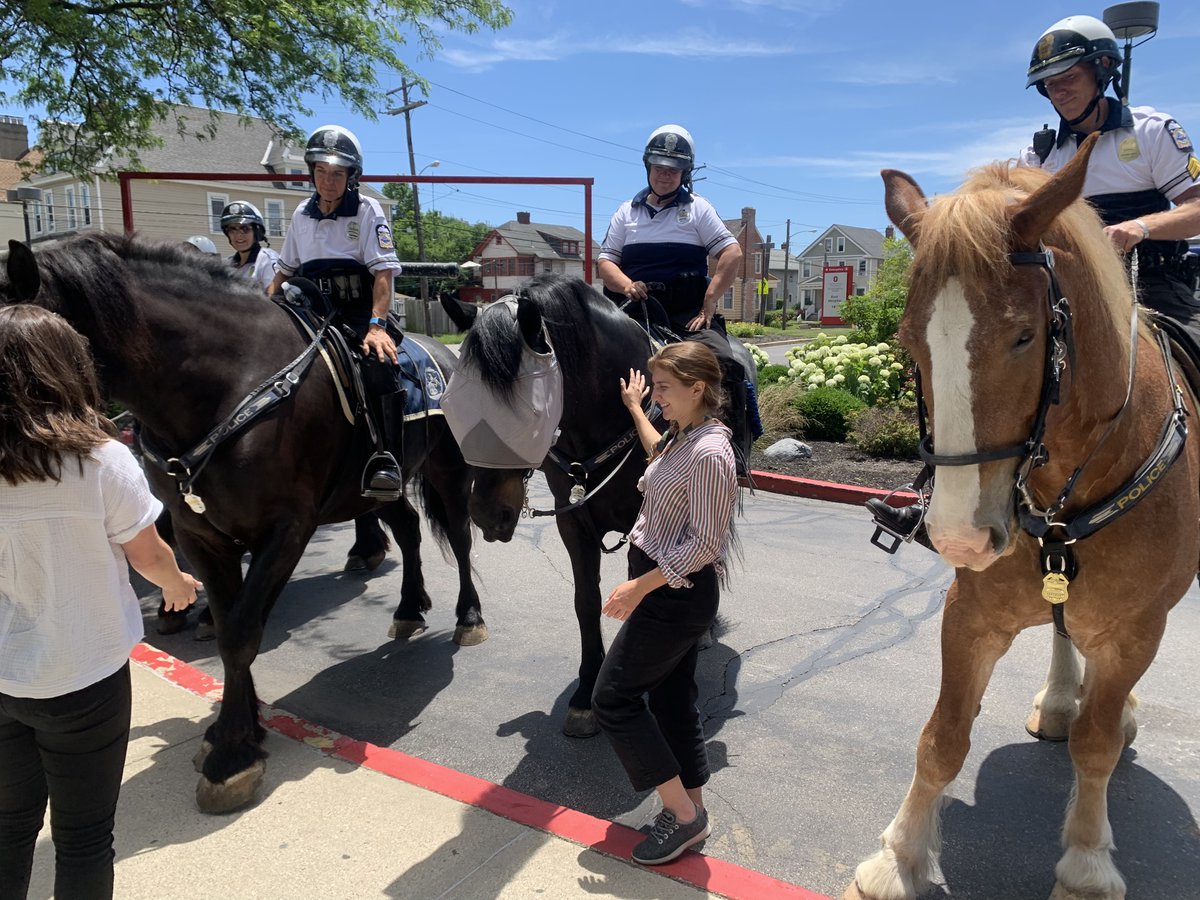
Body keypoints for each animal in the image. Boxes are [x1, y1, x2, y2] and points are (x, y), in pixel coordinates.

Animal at [5, 236, 482, 816]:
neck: (228, 386)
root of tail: (443, 352)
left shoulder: (285, 530)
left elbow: (241, 633)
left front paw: (232, 754)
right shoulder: (201, 535)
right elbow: (230, 620)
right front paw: (240, 728)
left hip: (447, 473)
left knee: (459, 538)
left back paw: (468, 616)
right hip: (374, 488)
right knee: (409, 530)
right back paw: (410, 606)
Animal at [446, 274, 753, 739]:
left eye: (523, 412)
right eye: (459, 405)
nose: (485, 514)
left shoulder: (645, 523)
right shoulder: (574, 524)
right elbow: (586, 601)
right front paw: (585, 693)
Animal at [844, 135, 1200, 900]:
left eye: (1024, 336)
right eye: (908, 341)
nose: (959, 533)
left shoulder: (1137, 628)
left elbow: (1097, 747)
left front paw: (1088, 862)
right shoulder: (970, 614)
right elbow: (942, 736)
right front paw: (900, 855)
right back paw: (1064, 697)